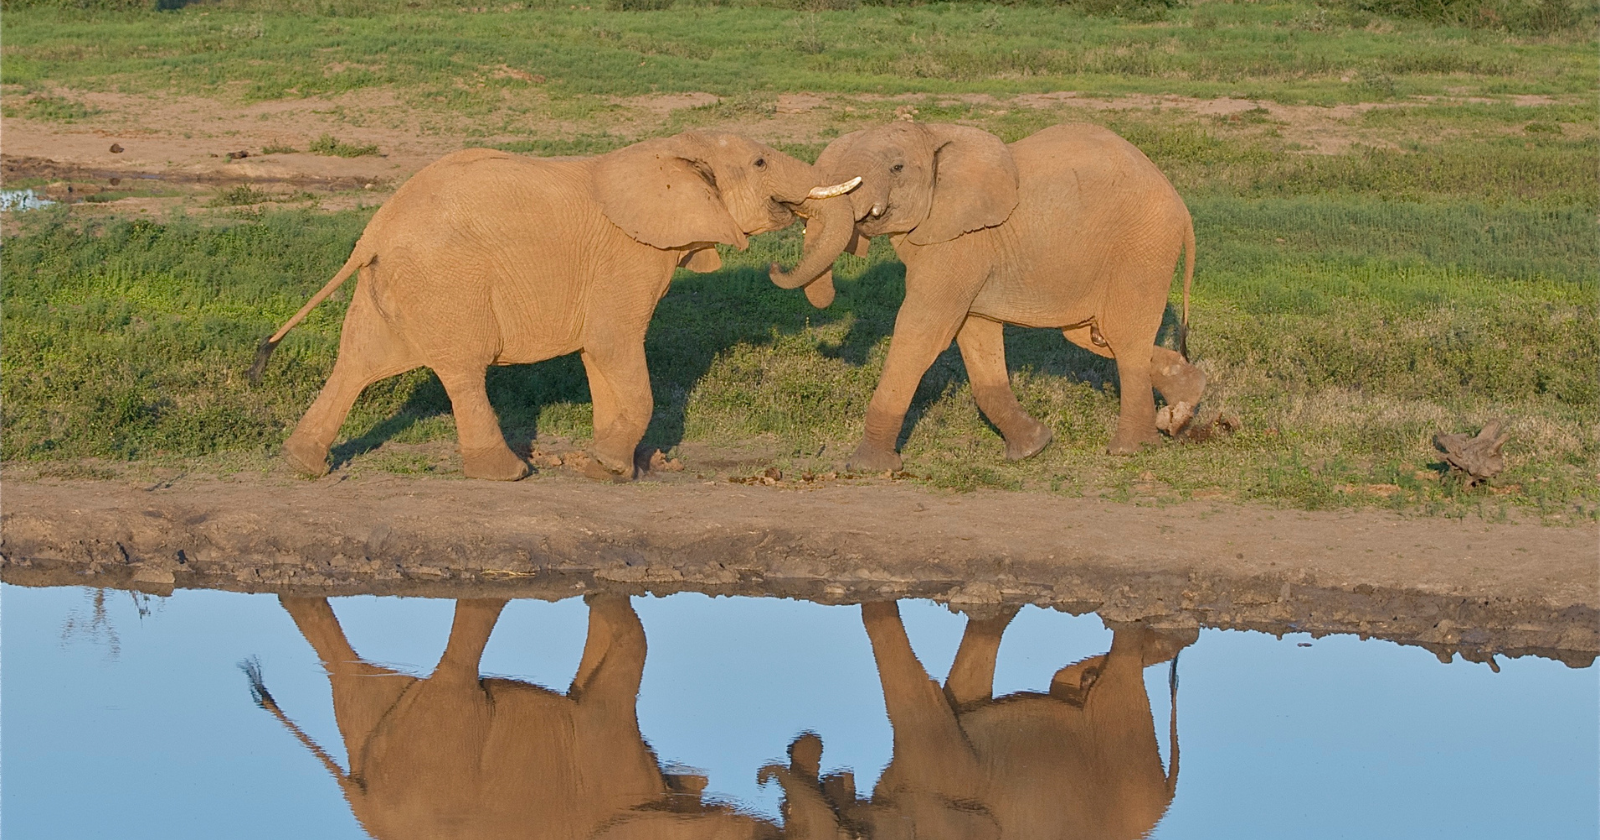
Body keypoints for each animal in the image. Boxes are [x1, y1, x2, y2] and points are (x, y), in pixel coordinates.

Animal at [249, 132, 861, 480]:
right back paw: (508, 474)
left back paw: (301, 464)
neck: (672, 149)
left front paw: (608, 465)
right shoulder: (629, 255)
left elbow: (598, 356)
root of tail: (373, 230)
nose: (778, 267)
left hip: (389, 286)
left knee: (355, 362)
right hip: (447, 282)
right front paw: (611, 468)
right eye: (760, 164)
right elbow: (615, 346)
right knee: (463, 371)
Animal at [767, 121, 1206, 469]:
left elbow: (921, 332)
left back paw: (1131, 450)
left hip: (1143, 246)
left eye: (897, 167)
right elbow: (976, 336)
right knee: (1095, 336)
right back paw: (1184, 405)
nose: (772, 266)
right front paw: (1032, 448)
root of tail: (1180, 205)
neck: (935, 134)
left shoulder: (962, 242)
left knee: (1124, 337)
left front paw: (867, 467)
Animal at [767, 602, 1192, 840]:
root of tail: (1164, 800)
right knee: (1065, 679)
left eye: (854, 838)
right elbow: (964, 691)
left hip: (1122, 750)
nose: (805, 740)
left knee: (1120, 662)